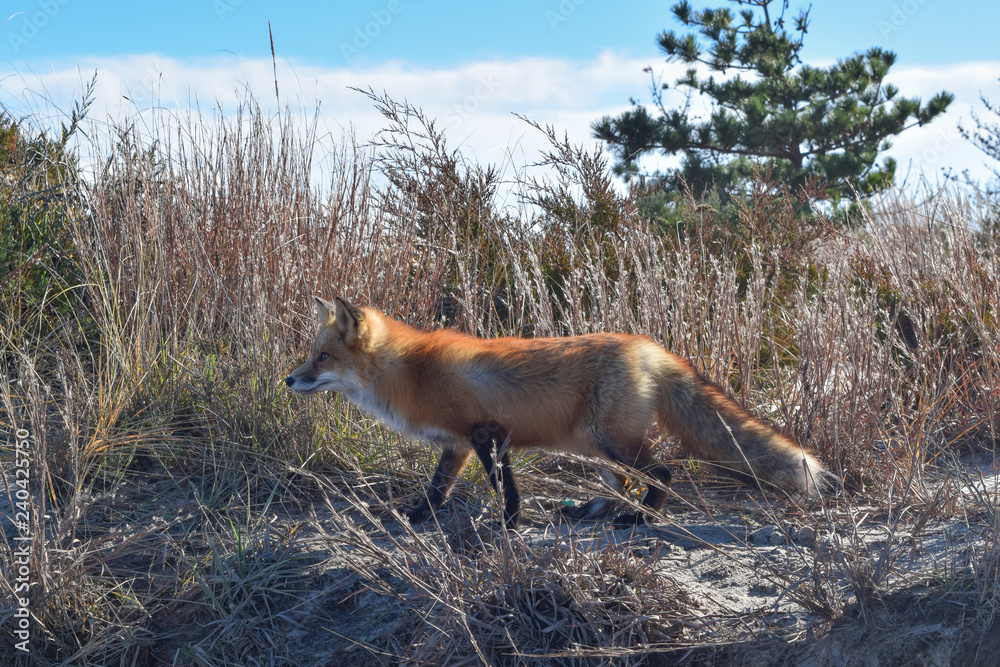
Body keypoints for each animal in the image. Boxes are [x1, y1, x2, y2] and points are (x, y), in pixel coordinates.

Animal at [285, 297, 829, 529]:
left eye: (322, 358)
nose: (288, 380)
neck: (412, 372)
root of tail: (646, 345)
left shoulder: (488, 433)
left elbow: (505, 490)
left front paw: (508, 526)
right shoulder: (457, 444)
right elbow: (437, 490)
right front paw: (416, 517)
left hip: (608, 440)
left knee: (663, 473)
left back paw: (639, 518)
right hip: (595, 445)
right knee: (621, 484)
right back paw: (594, 511)